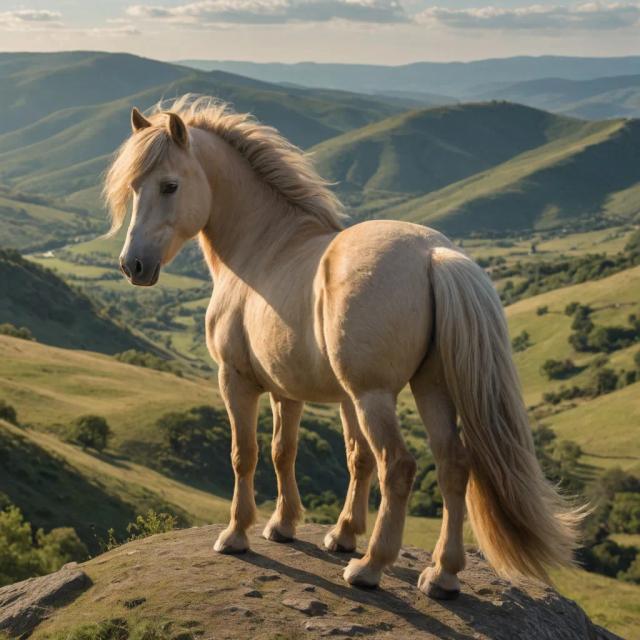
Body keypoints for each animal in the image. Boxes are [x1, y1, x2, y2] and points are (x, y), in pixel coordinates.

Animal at [104, 95, 581, 599]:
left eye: (170, 185)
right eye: (134, 187)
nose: (133, 265)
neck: (264, 248)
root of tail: (434, 256)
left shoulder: (237, 380)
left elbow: (245, 454)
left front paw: (236, 534)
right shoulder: (294, 392)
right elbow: (303, 453)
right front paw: (302, 528)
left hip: (377, 396)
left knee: (399, 467)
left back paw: (370, 567)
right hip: (429, 388)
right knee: (452, 464)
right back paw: (442, 575)